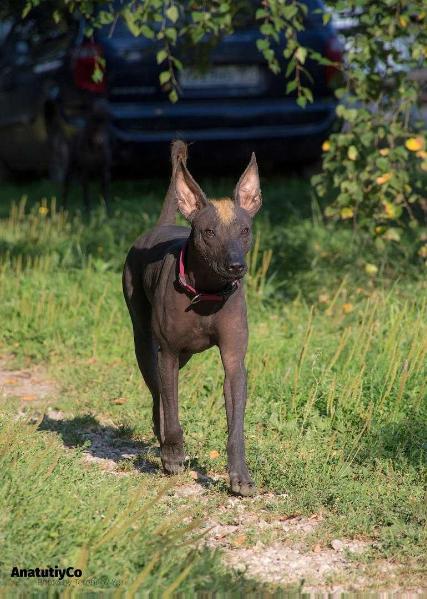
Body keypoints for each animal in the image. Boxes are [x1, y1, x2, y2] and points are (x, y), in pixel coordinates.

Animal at [122, 142, 262, 496]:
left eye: (244, 231)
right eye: (209, 232)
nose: (236, 265)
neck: (206, 293)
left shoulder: (234, 361)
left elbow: (236, 426)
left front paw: (240, 475)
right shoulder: (168, 353)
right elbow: (171, 408)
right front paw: (173, 454)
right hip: (145, 344)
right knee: (158, 394)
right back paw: (163, 442)